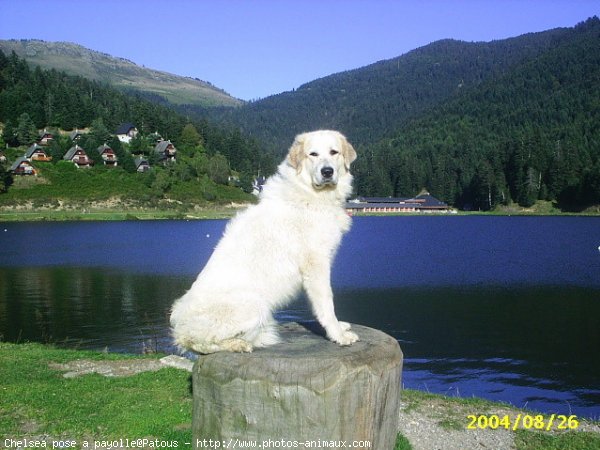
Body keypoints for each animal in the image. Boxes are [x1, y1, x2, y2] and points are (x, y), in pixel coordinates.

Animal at [169, 128, 358, 354]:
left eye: (333, 152)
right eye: (313, 154)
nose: (327, 172)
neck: (308, 193)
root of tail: (180, 330)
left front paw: (340, 327)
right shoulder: (316, 265)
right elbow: (327, 304)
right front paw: (338, 335)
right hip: (254, 304)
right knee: (203, 344)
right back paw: (239, 344)